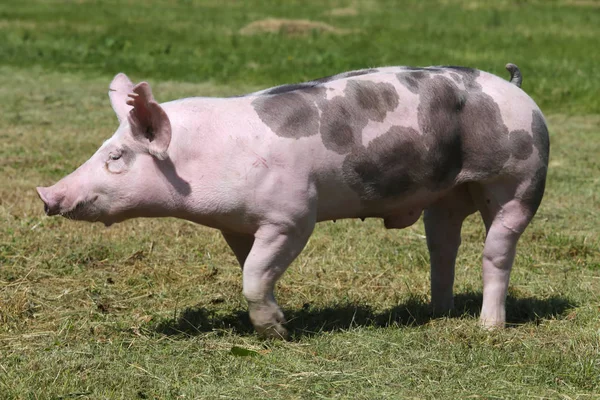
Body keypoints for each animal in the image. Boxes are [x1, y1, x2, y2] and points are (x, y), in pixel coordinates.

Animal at [37, 64, 552, 340]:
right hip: (445, 194)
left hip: (520, 179)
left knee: (497, 250)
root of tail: (520, 91)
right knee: (443, 246)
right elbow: (251, 270)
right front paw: (273, 324)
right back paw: (436, 314)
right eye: (103, 148)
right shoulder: (237, 224)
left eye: (116, 157)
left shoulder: (292, 215)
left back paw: (488, 328)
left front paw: (278, 332)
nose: (47, 195)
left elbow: (253, 275)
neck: (201, 159)